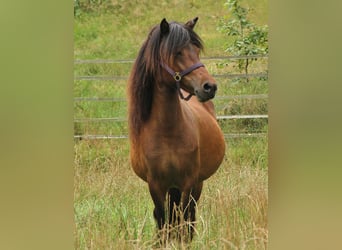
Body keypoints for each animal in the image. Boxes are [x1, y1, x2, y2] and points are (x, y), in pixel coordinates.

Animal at [127, 17, 226, 240]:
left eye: (196, 50)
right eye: (178, 52)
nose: (209, 86)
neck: (167, 133)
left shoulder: (188, 182)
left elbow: (184, 222)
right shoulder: (155, 185)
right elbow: (163, 220)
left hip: (196, 185)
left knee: (188, 216)